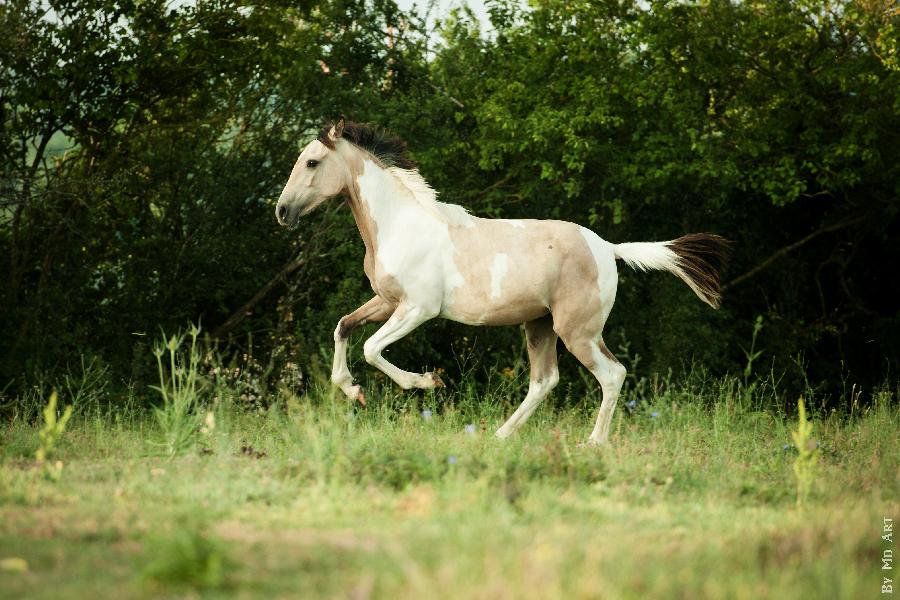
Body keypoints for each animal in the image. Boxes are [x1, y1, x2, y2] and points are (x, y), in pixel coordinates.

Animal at [270, 118, 728, 446]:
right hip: (539, 325)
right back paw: (501, 435)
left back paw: (593, 443)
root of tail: (608, 249)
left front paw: (427, 382)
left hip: (577, 331)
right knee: (544, 381)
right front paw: (353, 391)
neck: (401, 224)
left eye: (312, 162)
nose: (281, 211)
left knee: (612, 374)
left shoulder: (418, 308)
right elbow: (344, 327)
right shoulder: (385, 301)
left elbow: (371, 347)